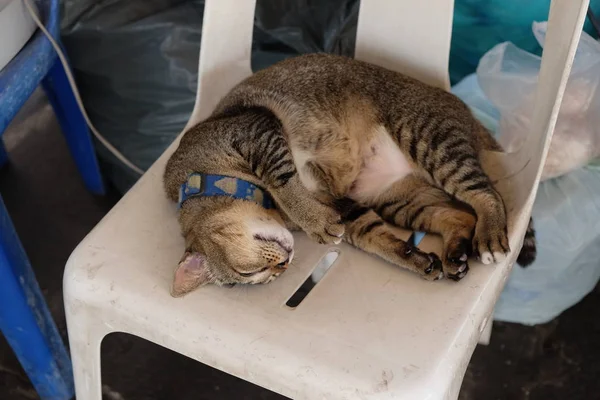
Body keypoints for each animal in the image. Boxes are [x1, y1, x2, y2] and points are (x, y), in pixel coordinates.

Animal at [162, 53, 536, 296]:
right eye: (260, 278)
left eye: (248, 273)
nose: (283, 266)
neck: (197, 176)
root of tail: (468, 114)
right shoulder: (345, 204)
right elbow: (374, 237)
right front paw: (415, 260)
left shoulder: (258, 132)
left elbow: (284, 180)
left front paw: (314, 221)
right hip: (399, 199)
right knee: (458, 216)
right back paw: (455, 254)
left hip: (429, 139)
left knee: (486, 194)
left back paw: (490, 236)